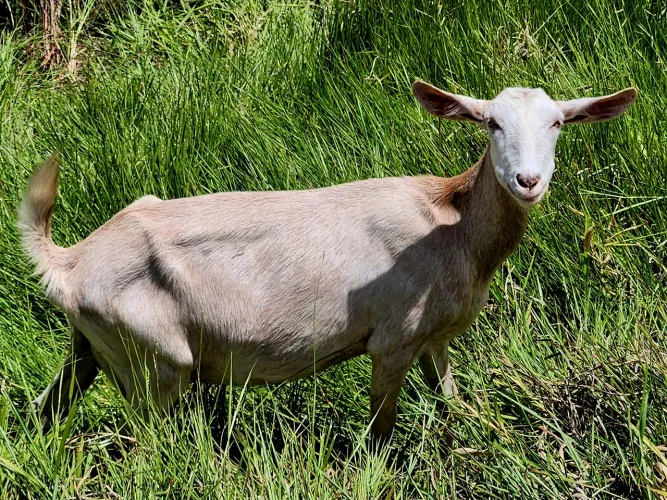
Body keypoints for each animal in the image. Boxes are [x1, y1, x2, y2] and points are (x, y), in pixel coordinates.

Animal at [19, 80, 635, 439]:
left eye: (557, 122)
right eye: (491, 123)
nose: (528, 181)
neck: (453, 224)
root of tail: (69, 261)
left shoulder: (434, 337)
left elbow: (452, 398)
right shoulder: (395, 338)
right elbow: (381, 431)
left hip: (91, 346)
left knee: (48, 407)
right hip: (155, 362)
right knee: (153, 444)